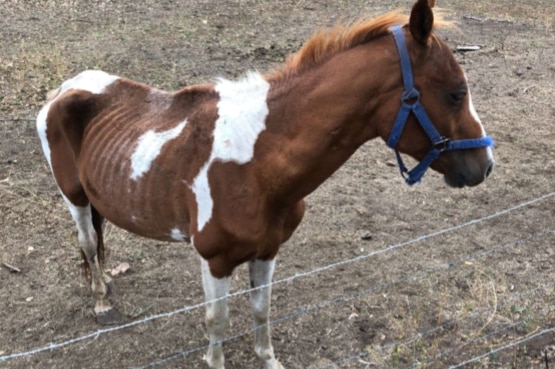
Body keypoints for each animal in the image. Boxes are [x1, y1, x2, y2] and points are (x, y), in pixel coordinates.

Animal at [35, 0, 496, 368]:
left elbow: (261, 310)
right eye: (456, 93)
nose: (485, 165)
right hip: (74, 198)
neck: (256, 161)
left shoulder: (268, 250)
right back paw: (101, 301)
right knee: (88, 243)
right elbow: (216, 321)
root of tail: (65, 89)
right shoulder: (215, 260)